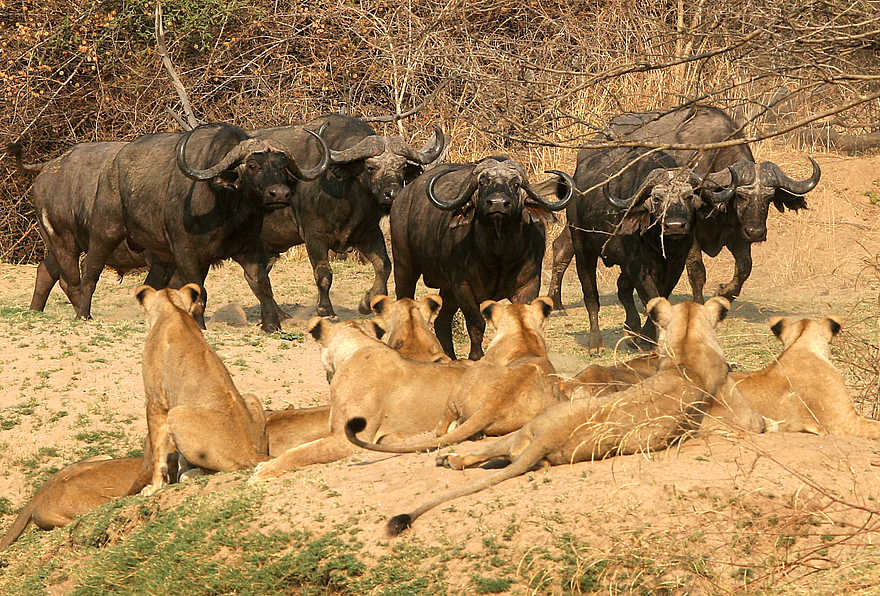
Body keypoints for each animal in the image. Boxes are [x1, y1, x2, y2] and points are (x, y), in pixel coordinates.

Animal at [131, 284, 269, 495]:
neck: (173, 308)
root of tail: (250, 451)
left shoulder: (156, 401)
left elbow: (158, 451)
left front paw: (154, 487)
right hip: (251, 397)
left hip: (177, 414)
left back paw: (190, 475)